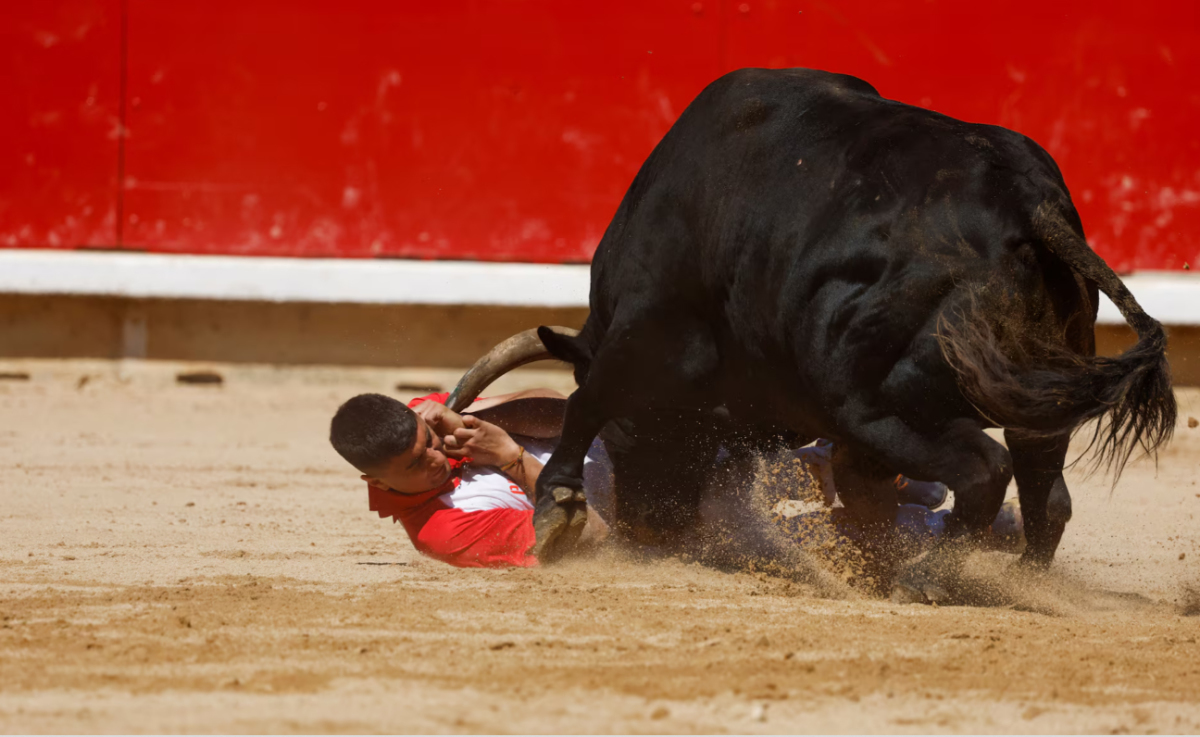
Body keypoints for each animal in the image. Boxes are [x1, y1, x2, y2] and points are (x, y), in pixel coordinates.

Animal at [475, 67, 1171, 600]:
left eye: (628, 437)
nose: (651, 528)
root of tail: (1031, 206)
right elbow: (863, 499)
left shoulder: (644, 332)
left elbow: (587, 401)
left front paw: (557, 510)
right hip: (1030, 409)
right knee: (1046, 497)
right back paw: (1017, 583)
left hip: (874, 404)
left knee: (984, 469)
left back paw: (927, 579)